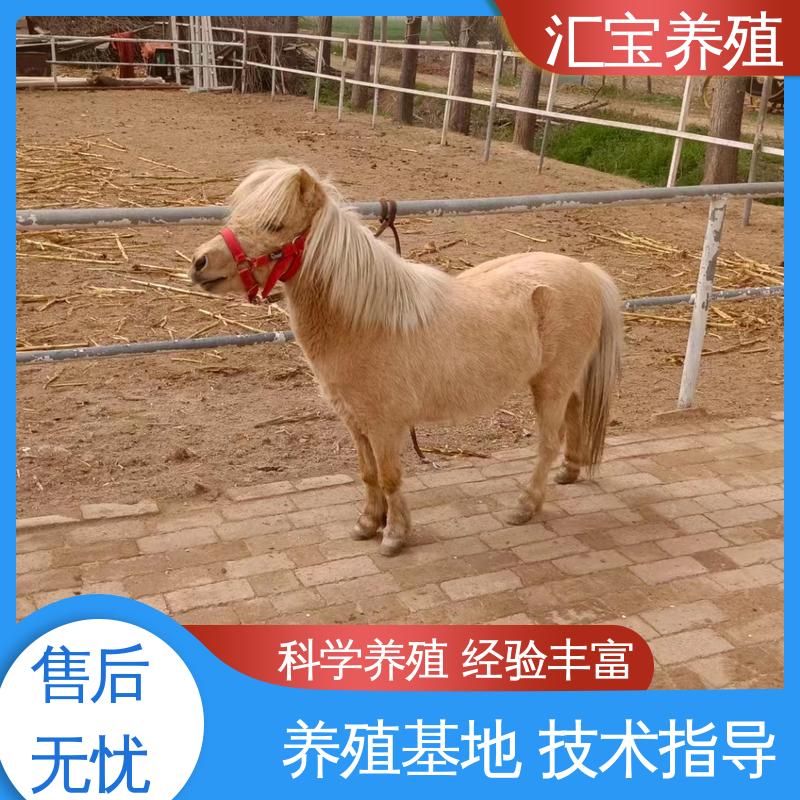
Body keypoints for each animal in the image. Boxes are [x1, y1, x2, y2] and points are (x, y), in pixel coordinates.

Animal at [189, 159, 623, 556]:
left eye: (276, 225)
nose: (199, 263)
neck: (363, 323)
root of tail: (585, 270)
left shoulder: (385, 426)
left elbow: (390, 477)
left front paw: (395, 535)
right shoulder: (356, 423)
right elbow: (368, 474)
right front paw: (368, 523)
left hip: (550, 385)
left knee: (548, 442)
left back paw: (525, 506)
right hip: (564, 380)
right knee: (575, 413)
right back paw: (569, 472)